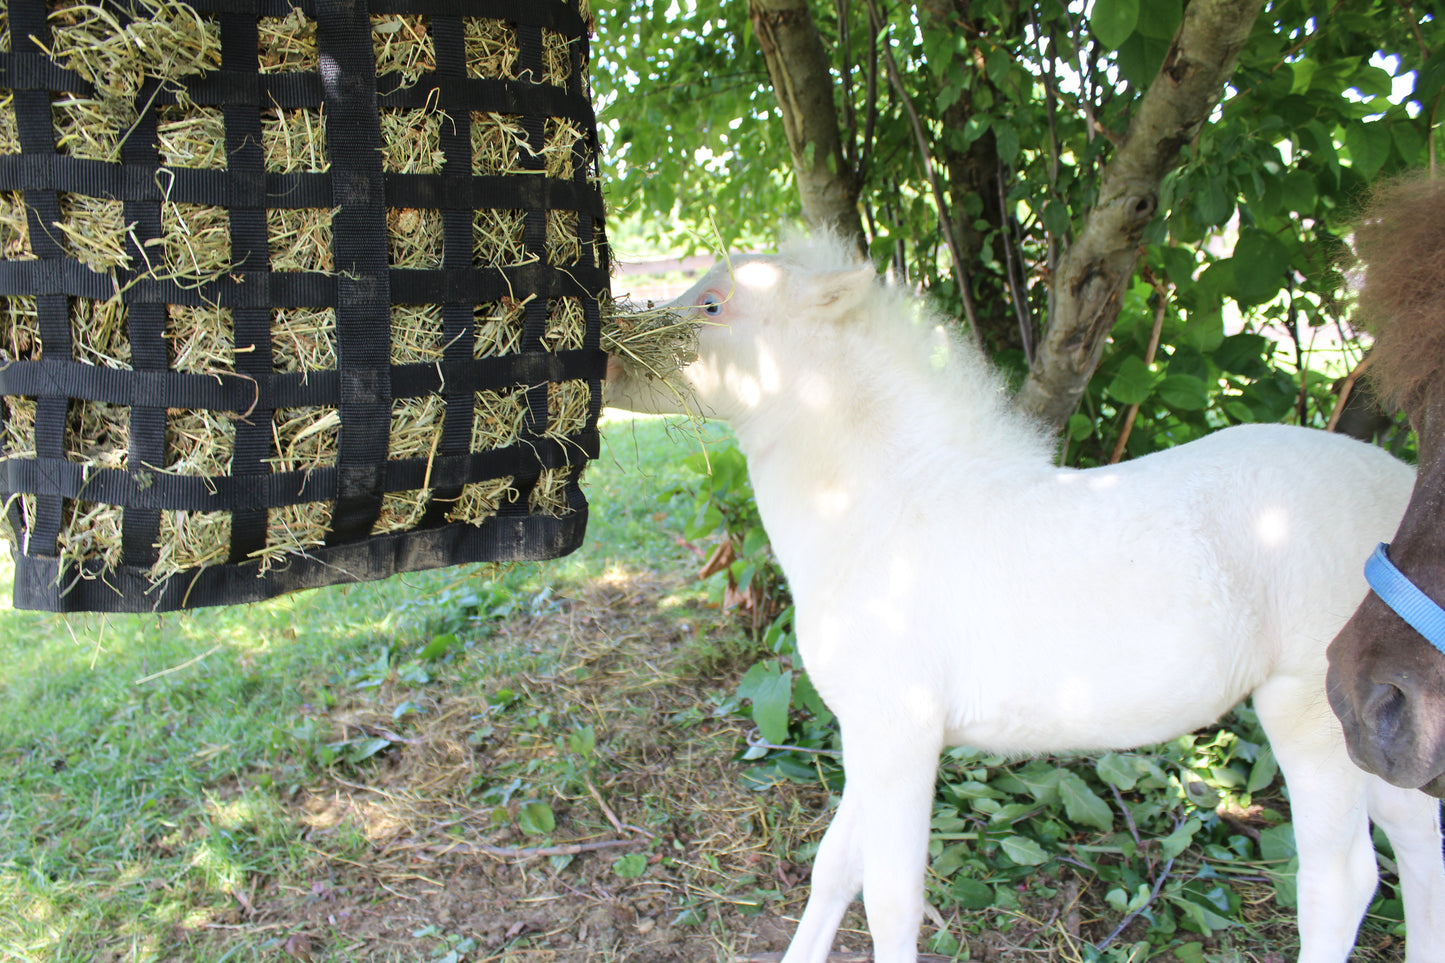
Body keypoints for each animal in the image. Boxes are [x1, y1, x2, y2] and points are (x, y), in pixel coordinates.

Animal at [605, 234, 1445, 963]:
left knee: (1342, 882)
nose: (606, 358)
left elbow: (889, 899)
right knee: (1418, 841)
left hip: (1313, 716)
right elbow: (833, 868)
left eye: (712, 304)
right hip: (1375, 739)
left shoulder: (898, 734)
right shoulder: (868, 735)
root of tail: (1396, 484)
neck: (874, 507)